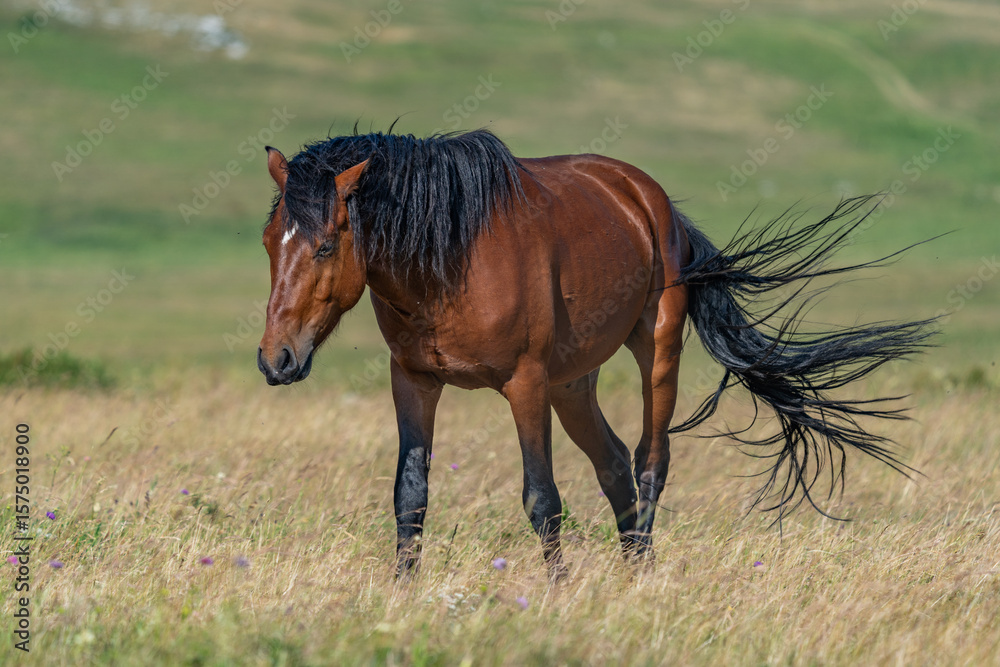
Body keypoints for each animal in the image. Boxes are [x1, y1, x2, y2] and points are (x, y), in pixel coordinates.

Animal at [256, 129, 933, 578]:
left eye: (325, 245)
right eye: (267, 241)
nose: (275, 359)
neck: (451, 254)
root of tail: (649, 197)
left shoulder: (524, 383)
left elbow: (542, 499)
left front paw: (557, 593)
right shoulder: (415, 381)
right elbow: (410, 494)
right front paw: (403, 592)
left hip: (654, 351)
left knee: (650, 460)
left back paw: (642, 577)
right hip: (572, 383)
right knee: (613, 465)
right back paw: (632, 568)